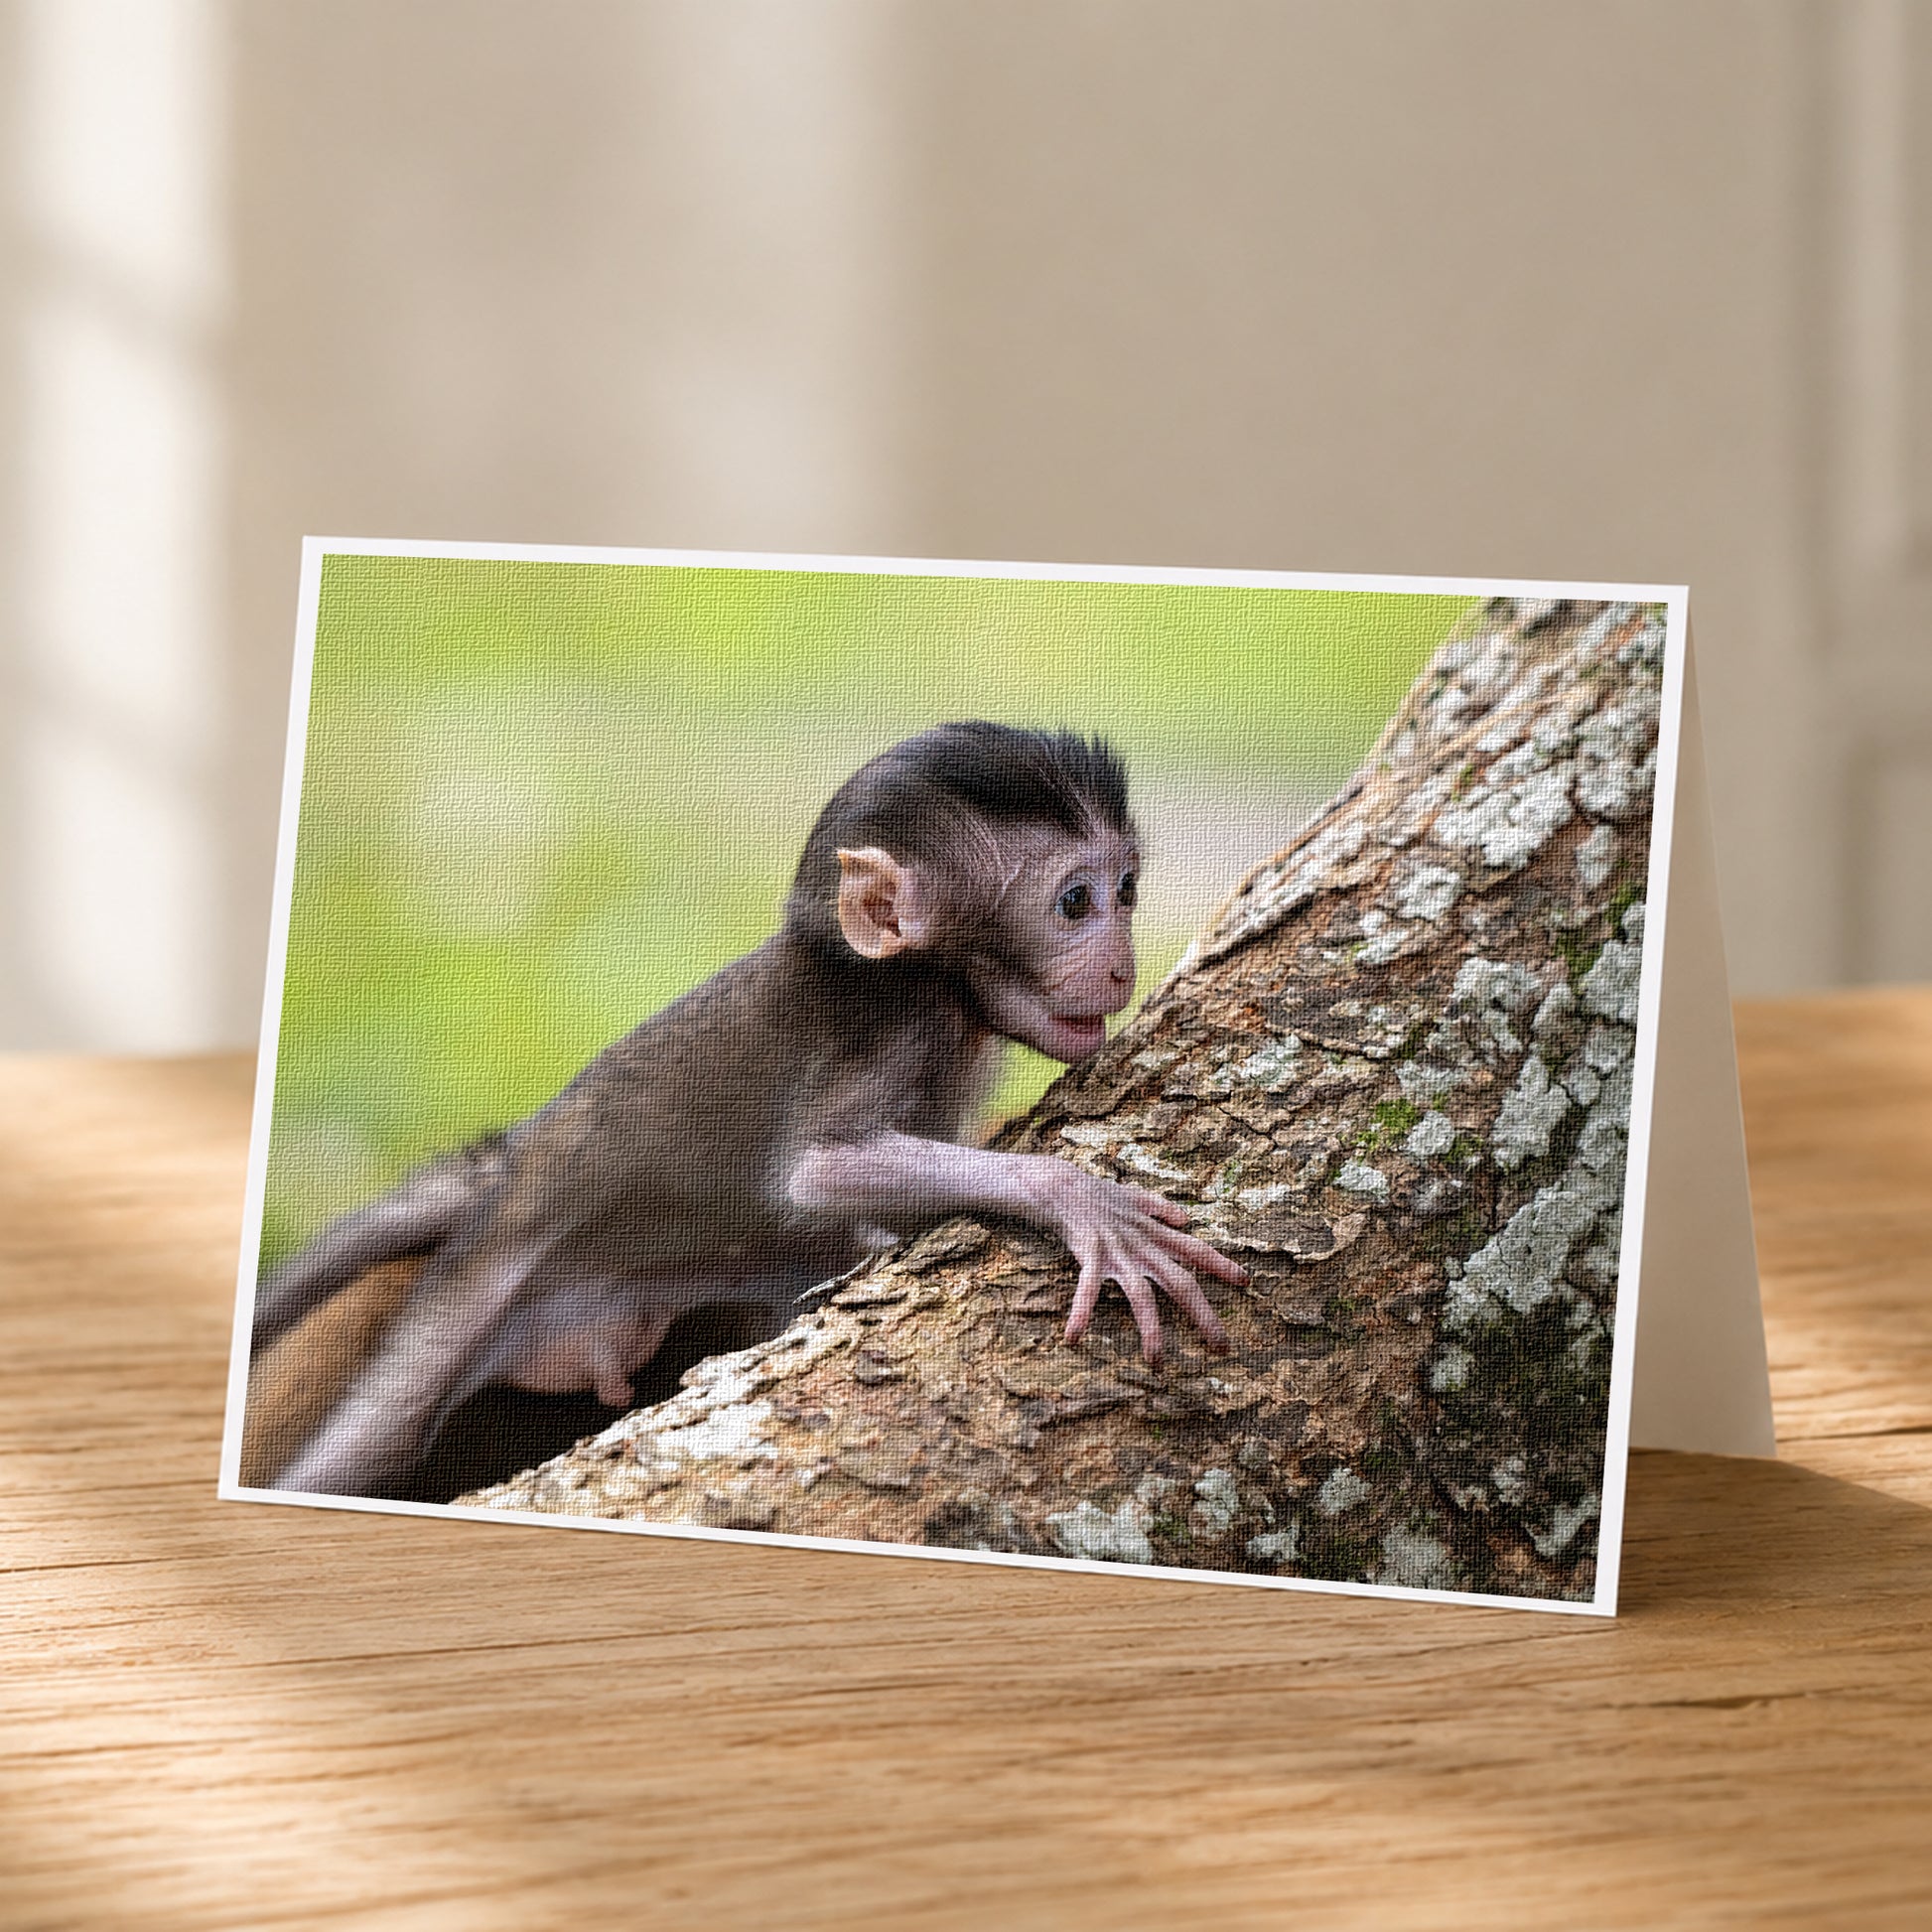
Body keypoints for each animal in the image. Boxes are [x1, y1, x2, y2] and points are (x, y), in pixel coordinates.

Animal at [247, 721, 1247, 1500]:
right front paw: (1080, 1200)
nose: (1118, 964)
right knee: (368, 1442)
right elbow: (818, 1174)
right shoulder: (896, 1024)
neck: (928, 981)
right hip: (474, 1285)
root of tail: (519, 1155)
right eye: (1076, 902)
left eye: (1126, 890)